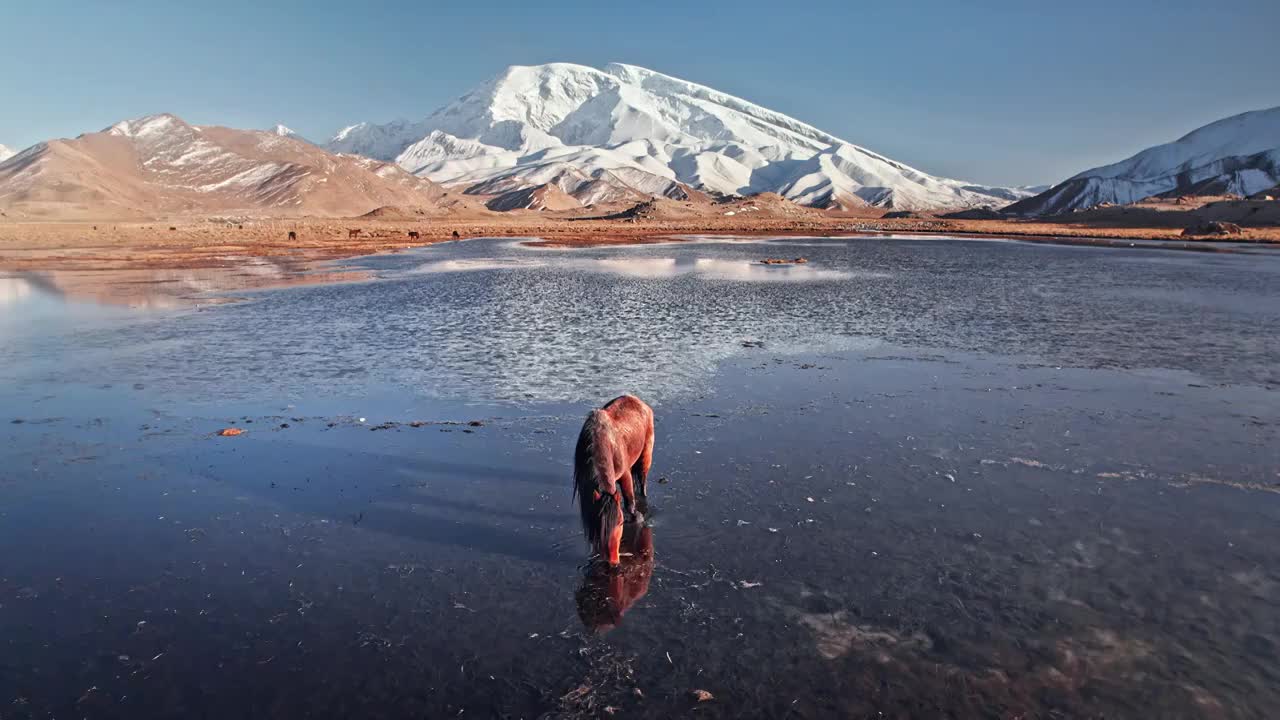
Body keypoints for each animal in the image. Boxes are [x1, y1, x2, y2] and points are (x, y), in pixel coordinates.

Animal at [573, 394, 655, 563]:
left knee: (642, 479)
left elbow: (629, 500)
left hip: (646, 455)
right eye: (599, 526)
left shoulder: (625, 475)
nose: (613, 562)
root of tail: (638, 400)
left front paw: (637, 517)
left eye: (620, 523)